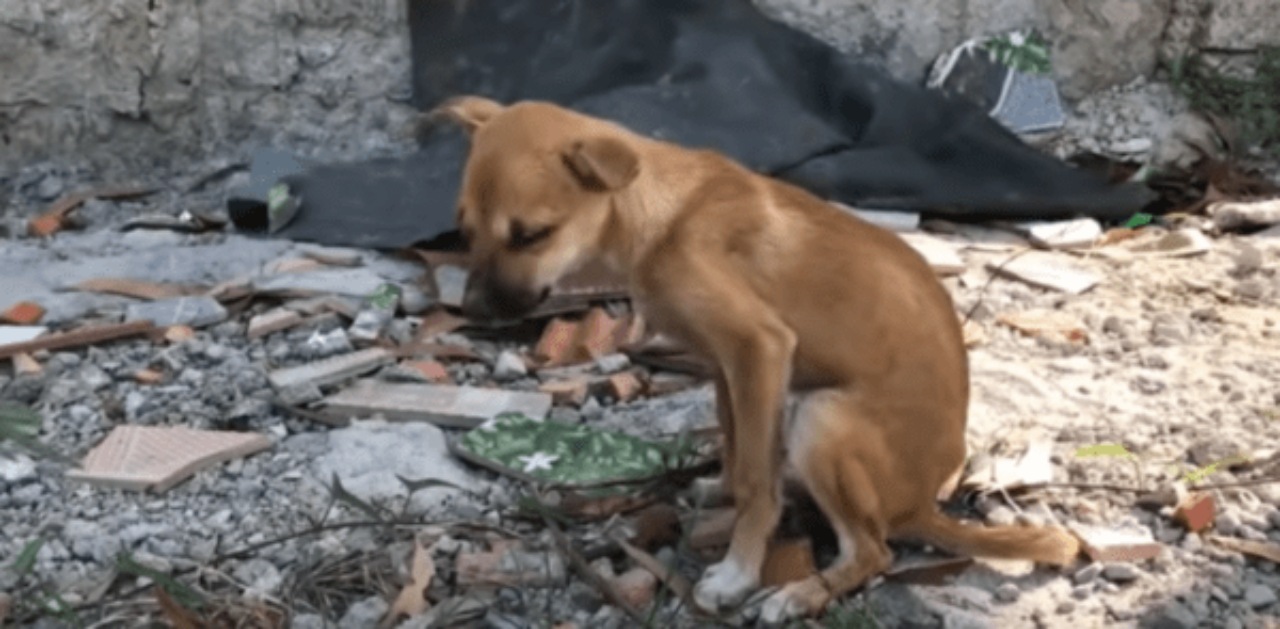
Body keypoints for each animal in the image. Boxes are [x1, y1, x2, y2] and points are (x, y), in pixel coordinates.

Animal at [432, 96, 1080, 622]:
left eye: (531, 235)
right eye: (464, 230)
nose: (472, 311)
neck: (659, 218)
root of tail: (924, 506)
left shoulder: (760, 346)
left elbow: (754, 479)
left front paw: (737, 574)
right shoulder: (728, 365)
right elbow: (738, 444)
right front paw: (719, 489)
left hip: (823, 420)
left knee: (874, 550)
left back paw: (800, 594)